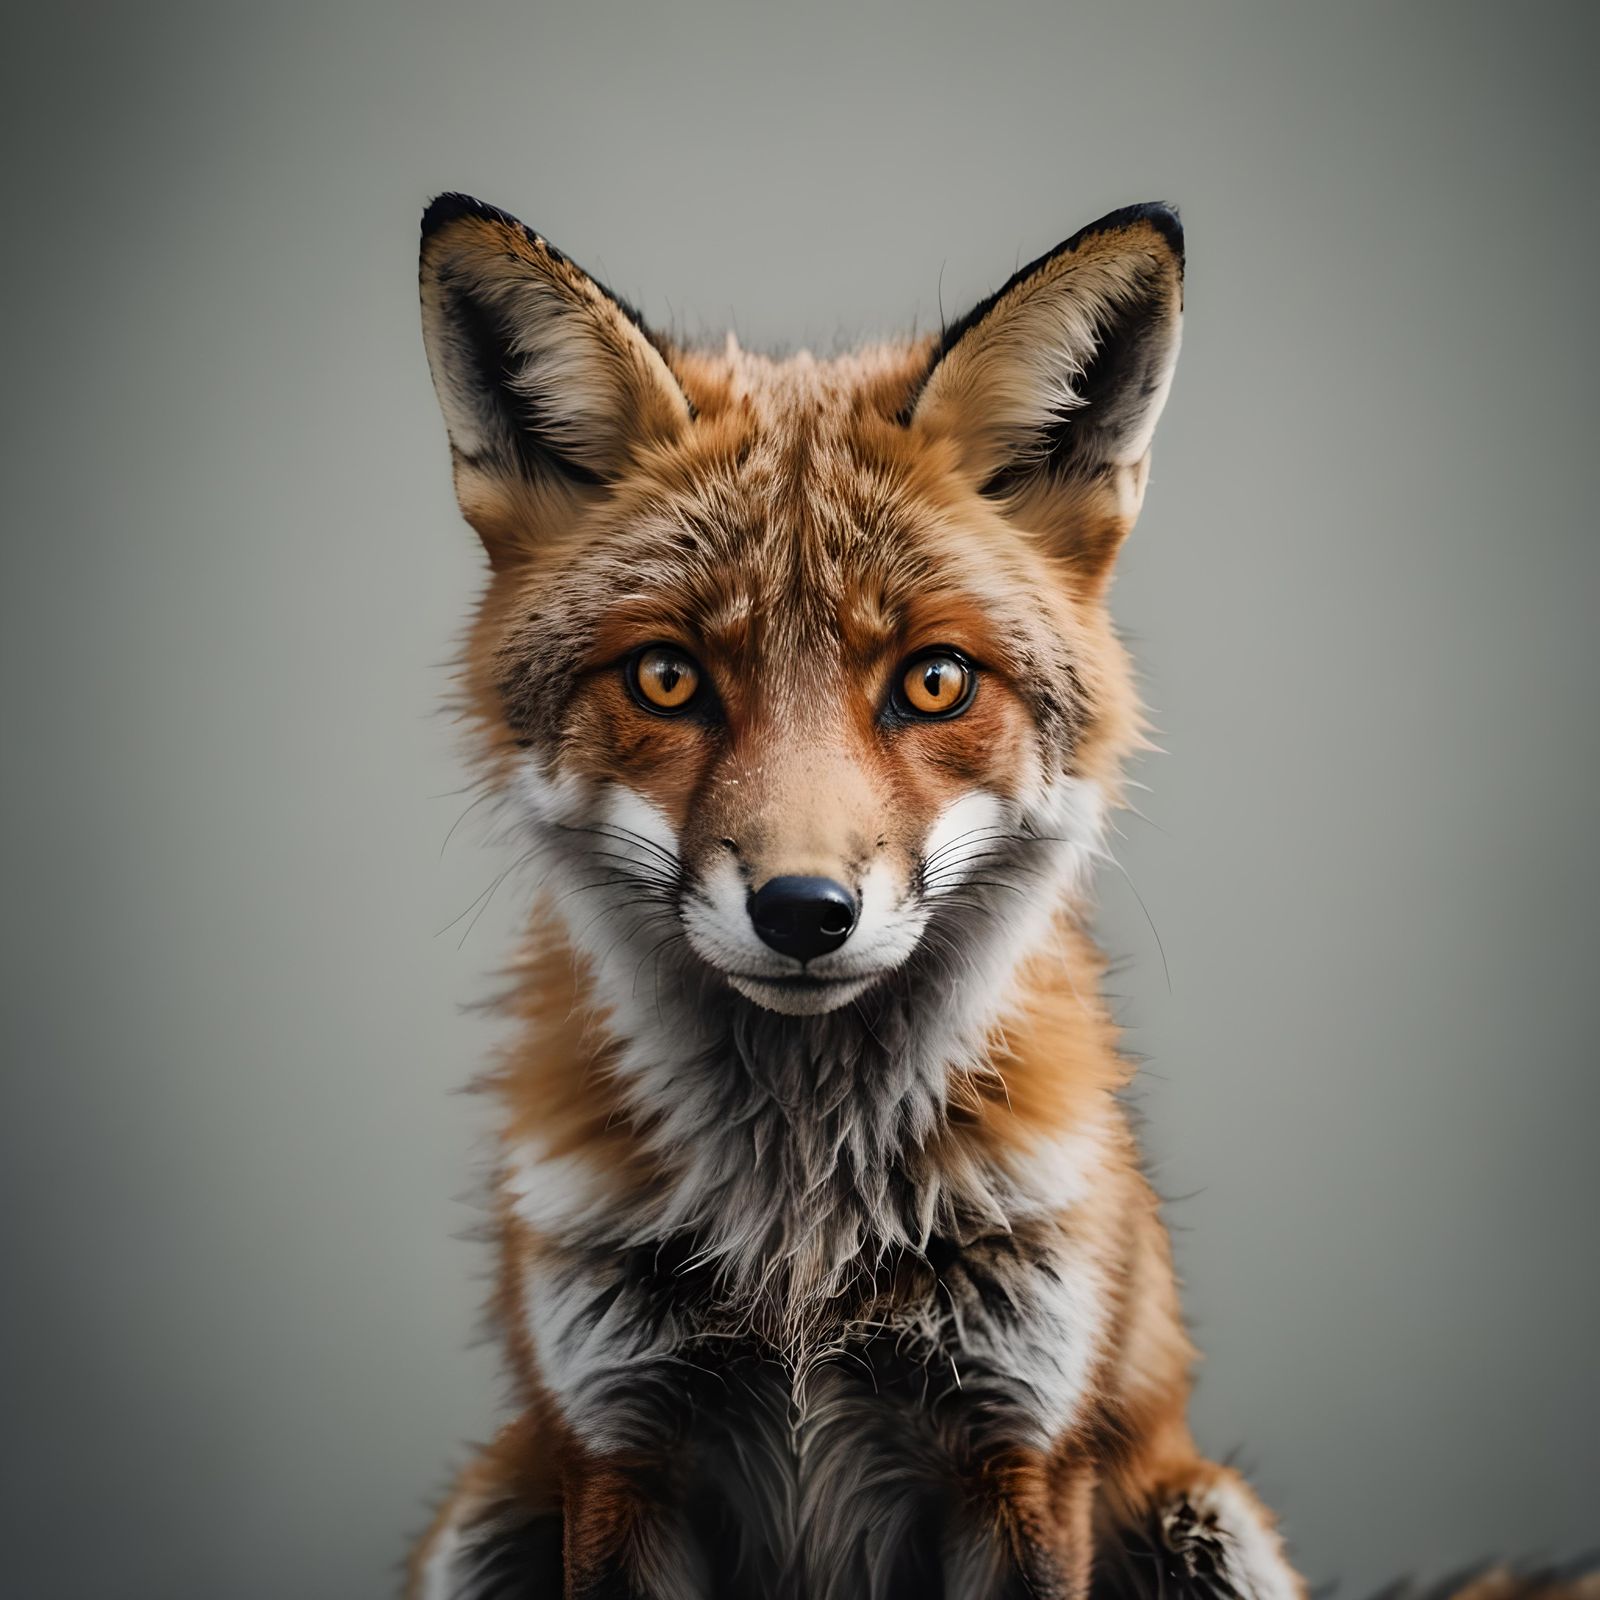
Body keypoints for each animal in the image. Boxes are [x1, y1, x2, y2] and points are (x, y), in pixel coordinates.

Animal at [406, 194, 1593, 1600]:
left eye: (933, 681)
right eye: (665, 677)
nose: (803, 910)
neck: (803, 1244)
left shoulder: (1020, 1446)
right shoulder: (619, 1447)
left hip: (1207, 1516)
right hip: (483, 1515)